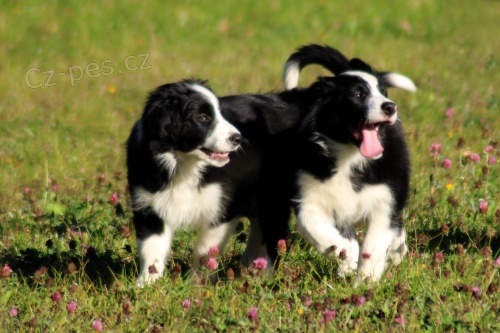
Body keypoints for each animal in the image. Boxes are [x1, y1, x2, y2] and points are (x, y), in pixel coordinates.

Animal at [284, 45, 416, 282]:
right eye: (358, 95)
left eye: (383, 93)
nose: (390, 107)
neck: (350, 157)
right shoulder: (308, 193)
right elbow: (312, 225)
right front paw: (341, 250)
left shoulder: (385, 198)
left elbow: (373, 244)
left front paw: (365, 282)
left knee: (396, 225)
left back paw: (396, 251)